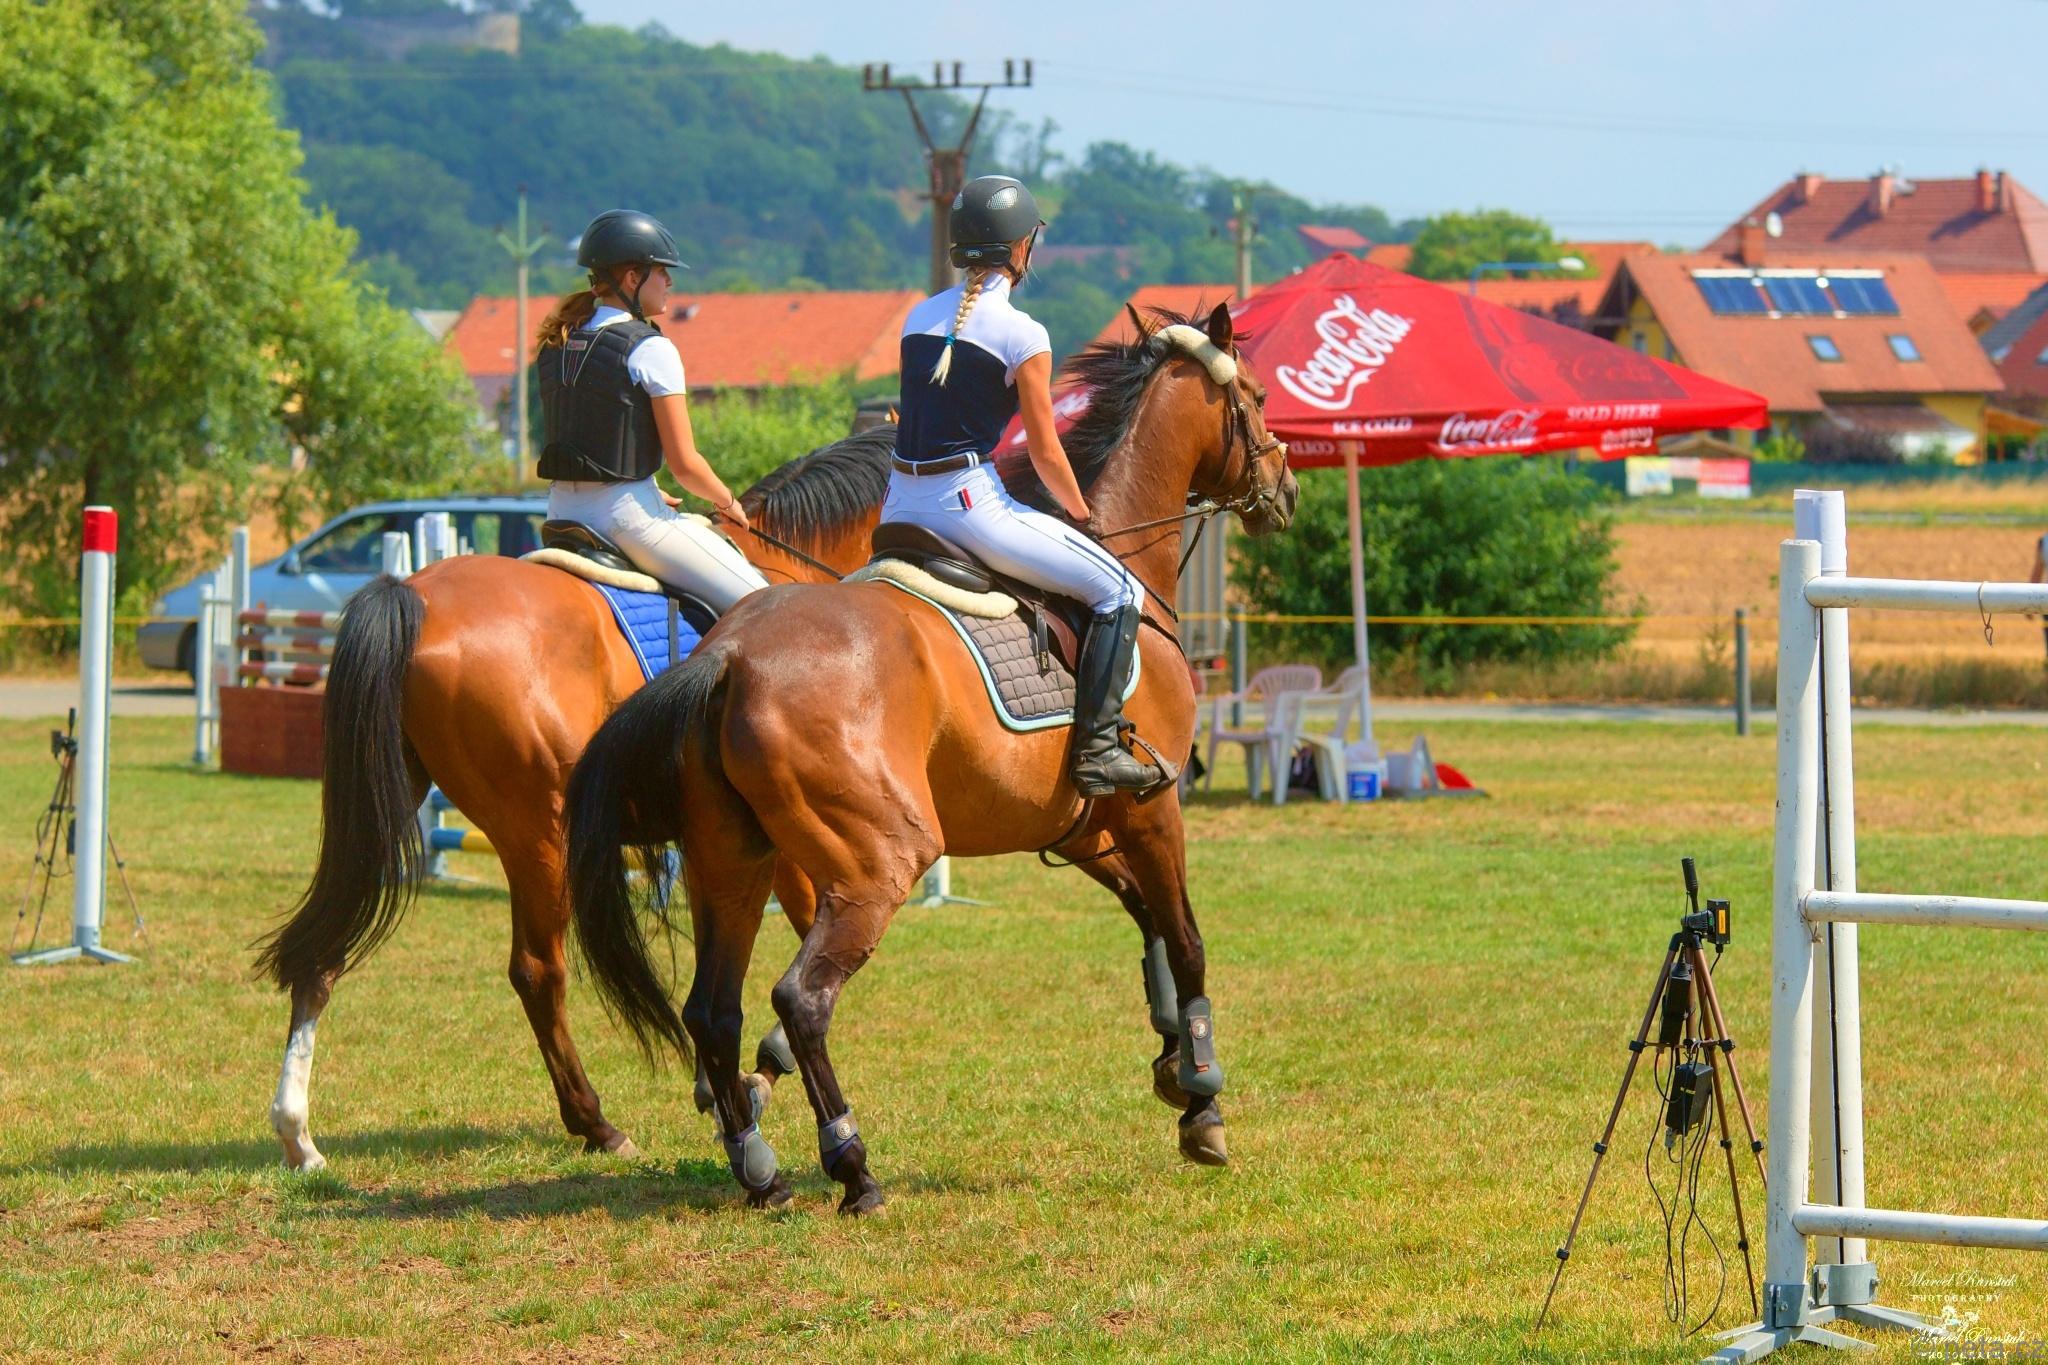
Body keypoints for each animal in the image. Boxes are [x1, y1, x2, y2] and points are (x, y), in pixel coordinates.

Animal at [251, 429, 896, 1171]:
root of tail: (413, 592)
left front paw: (720, 1084)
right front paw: (757, 1073)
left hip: (392, 812)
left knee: (325, 948)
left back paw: (298, 1133)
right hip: (538, 830)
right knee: (537, 972)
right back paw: (597, 1123)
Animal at [565, 303, 1299, 1212]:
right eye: (1258, 397)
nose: (1286, 490)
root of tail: (728, 654)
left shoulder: (1084, 825)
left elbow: (1149, 923)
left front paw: (1171, 1059)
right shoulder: (1150, 807)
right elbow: (1187, 937)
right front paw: (1201, 1097)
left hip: (731, 863)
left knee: (713, 1009)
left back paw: (759, 1165)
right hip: (877, 859)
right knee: (800, 998)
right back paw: (851, 1164)